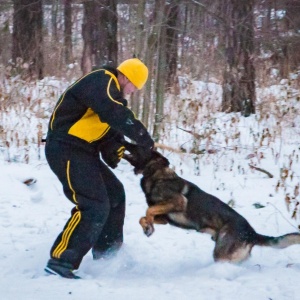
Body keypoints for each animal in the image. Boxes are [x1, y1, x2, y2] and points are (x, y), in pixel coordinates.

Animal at [122, 143, 300, 262]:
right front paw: (147, 226)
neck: (156, 174)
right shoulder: (164, 218)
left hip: (221, 254)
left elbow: (148, 211)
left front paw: (149, 227)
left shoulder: (178, 201)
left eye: (138, 146)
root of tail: (252, 233)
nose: (124, 140)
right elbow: (143, 216)